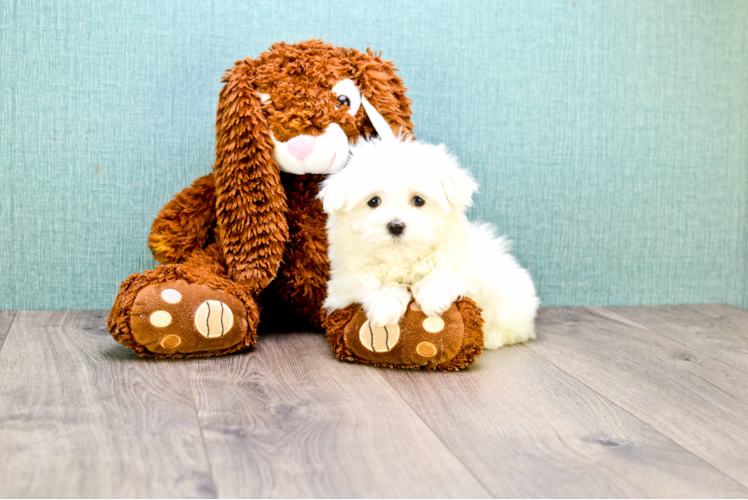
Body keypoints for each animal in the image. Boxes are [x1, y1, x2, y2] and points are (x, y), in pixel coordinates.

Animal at [318, 135, 540, 350]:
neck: (402, 259)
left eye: (418, 200)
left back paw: (493, 338)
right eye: (373, 201)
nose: (396, 225)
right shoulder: (340, 283)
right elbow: (367, 278)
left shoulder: (466, 265)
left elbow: (448, 272)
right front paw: (386, 303)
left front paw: (433, 294)